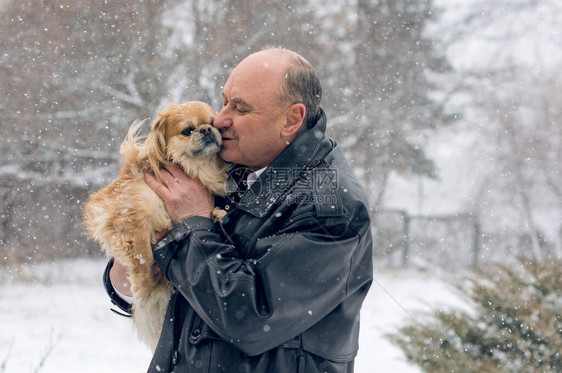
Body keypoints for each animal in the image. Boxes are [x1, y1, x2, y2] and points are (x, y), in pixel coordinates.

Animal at [83, 101, 228, 348]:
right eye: (187, 130)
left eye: (213, 123)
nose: (207, 130)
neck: (195, 167)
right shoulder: (126, 215)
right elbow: (142, 255)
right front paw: (142, 288)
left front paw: (218, 213)